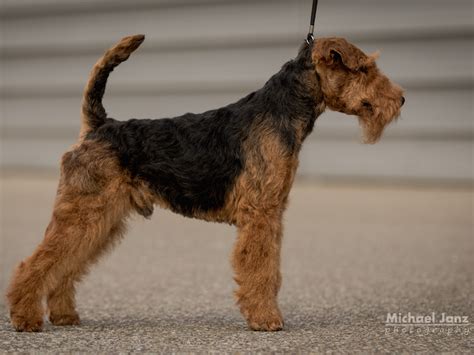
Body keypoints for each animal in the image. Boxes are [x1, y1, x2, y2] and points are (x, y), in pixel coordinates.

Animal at [6, 34, 404, 332]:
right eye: (365, 67)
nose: (400, 99)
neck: (284, 110)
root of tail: (97, 126)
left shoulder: (273, 213)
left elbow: (271, 270)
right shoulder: (260, 212)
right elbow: (259, 268)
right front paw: (266, 320)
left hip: (102, 220)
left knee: (66, 265)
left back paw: (63, 315)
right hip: (84, 211)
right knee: (35, 263)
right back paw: (25, 318)